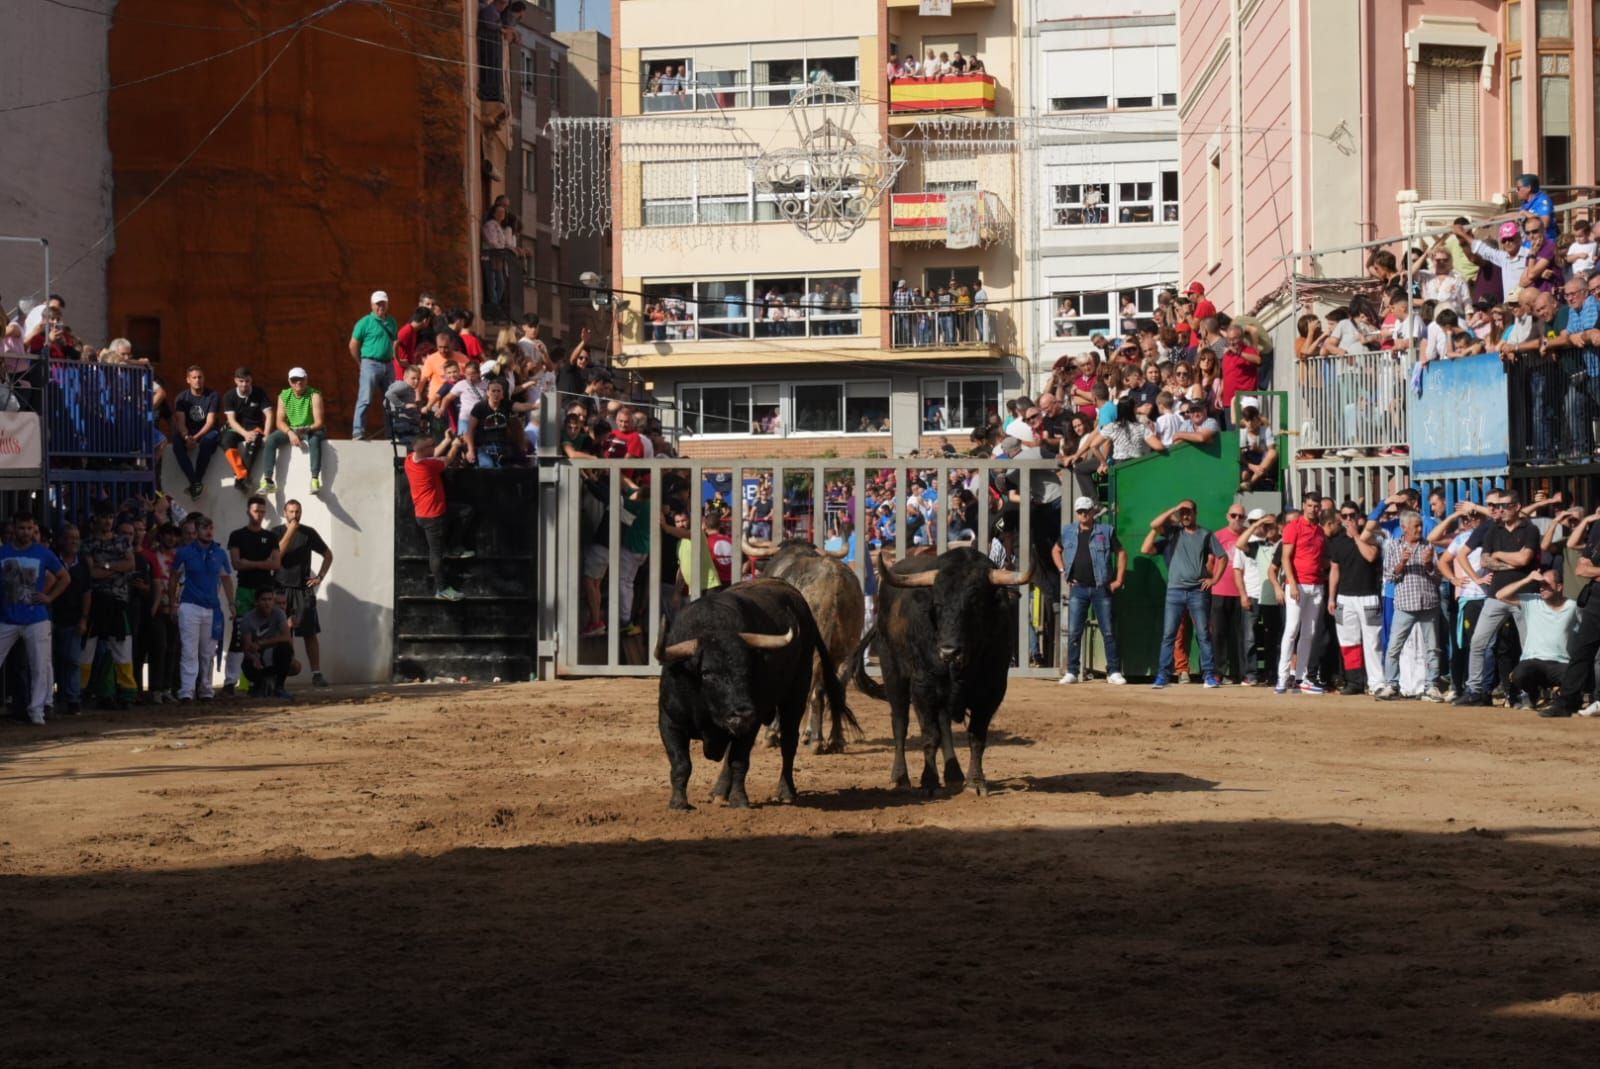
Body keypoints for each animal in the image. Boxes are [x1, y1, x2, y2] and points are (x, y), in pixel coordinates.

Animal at [652, 579, 857, 806]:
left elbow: (739, 761)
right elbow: (681, 764)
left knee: (788, 743)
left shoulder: (752, 724)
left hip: (796, 696)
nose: (743, 713)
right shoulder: (670, 722)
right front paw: (678, 803)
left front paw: (739, 799)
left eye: (749, 669)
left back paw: (785, 792)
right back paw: (719, 791)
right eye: (707, 673)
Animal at [857, 550, 1030, 793]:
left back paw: (953, 773)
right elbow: (930, 735)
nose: (949, 651)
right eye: (937, 604)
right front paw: (929, 780)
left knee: (945, 725)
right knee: (900, 723)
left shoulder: (992, 691)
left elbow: (976, 736)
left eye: (974, 603)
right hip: (893, 674)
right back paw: (900, 777)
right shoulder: (923, 686)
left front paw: (976, 781)